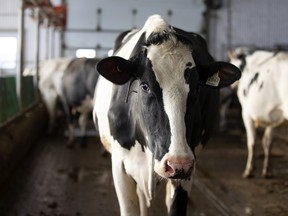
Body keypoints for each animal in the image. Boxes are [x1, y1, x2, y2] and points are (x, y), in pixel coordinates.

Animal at [230, 49, 288, 178]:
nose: (231, 86)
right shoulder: (273, 117)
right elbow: (268, 142)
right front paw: (267, 170)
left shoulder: (246, 113)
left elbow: (252, 142)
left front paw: (249, 170)